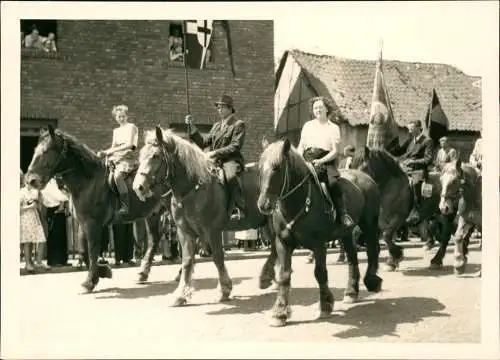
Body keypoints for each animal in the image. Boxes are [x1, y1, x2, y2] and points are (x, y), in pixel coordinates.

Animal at [24, 126, 170, 292]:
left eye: (47, 150)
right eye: (35, 150)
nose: (30, 180)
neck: (87, 181)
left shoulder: (93, 223)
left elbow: (93, 249)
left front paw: (89, 281)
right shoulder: (82, 222)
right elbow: (84, 251)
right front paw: (103, 272)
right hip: (153, 214)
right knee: (154, 240)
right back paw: (142, 274)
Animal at [131, 126, 276, 306]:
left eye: (155, 156)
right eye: (141, 155)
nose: (138, 187)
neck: (193, 188)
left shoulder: (213, 231)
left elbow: (218, 258)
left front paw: (224, 290)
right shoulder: (185, 232)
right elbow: (187, 261)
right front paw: (180, 294)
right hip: (266, 224)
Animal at [258, 139, 382, 328]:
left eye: (277, 167)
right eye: (260, 167)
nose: (263, 204)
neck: (300, 202)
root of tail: (365, 177)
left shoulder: (318, 243)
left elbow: (320, 272)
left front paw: (325, 305)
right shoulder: (283, 243)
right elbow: (284, 275)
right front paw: (280, 312)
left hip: (369, 224)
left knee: (372, 250)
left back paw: (372, 281)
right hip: (346, 233)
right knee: (352, 258)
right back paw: (351, 292)